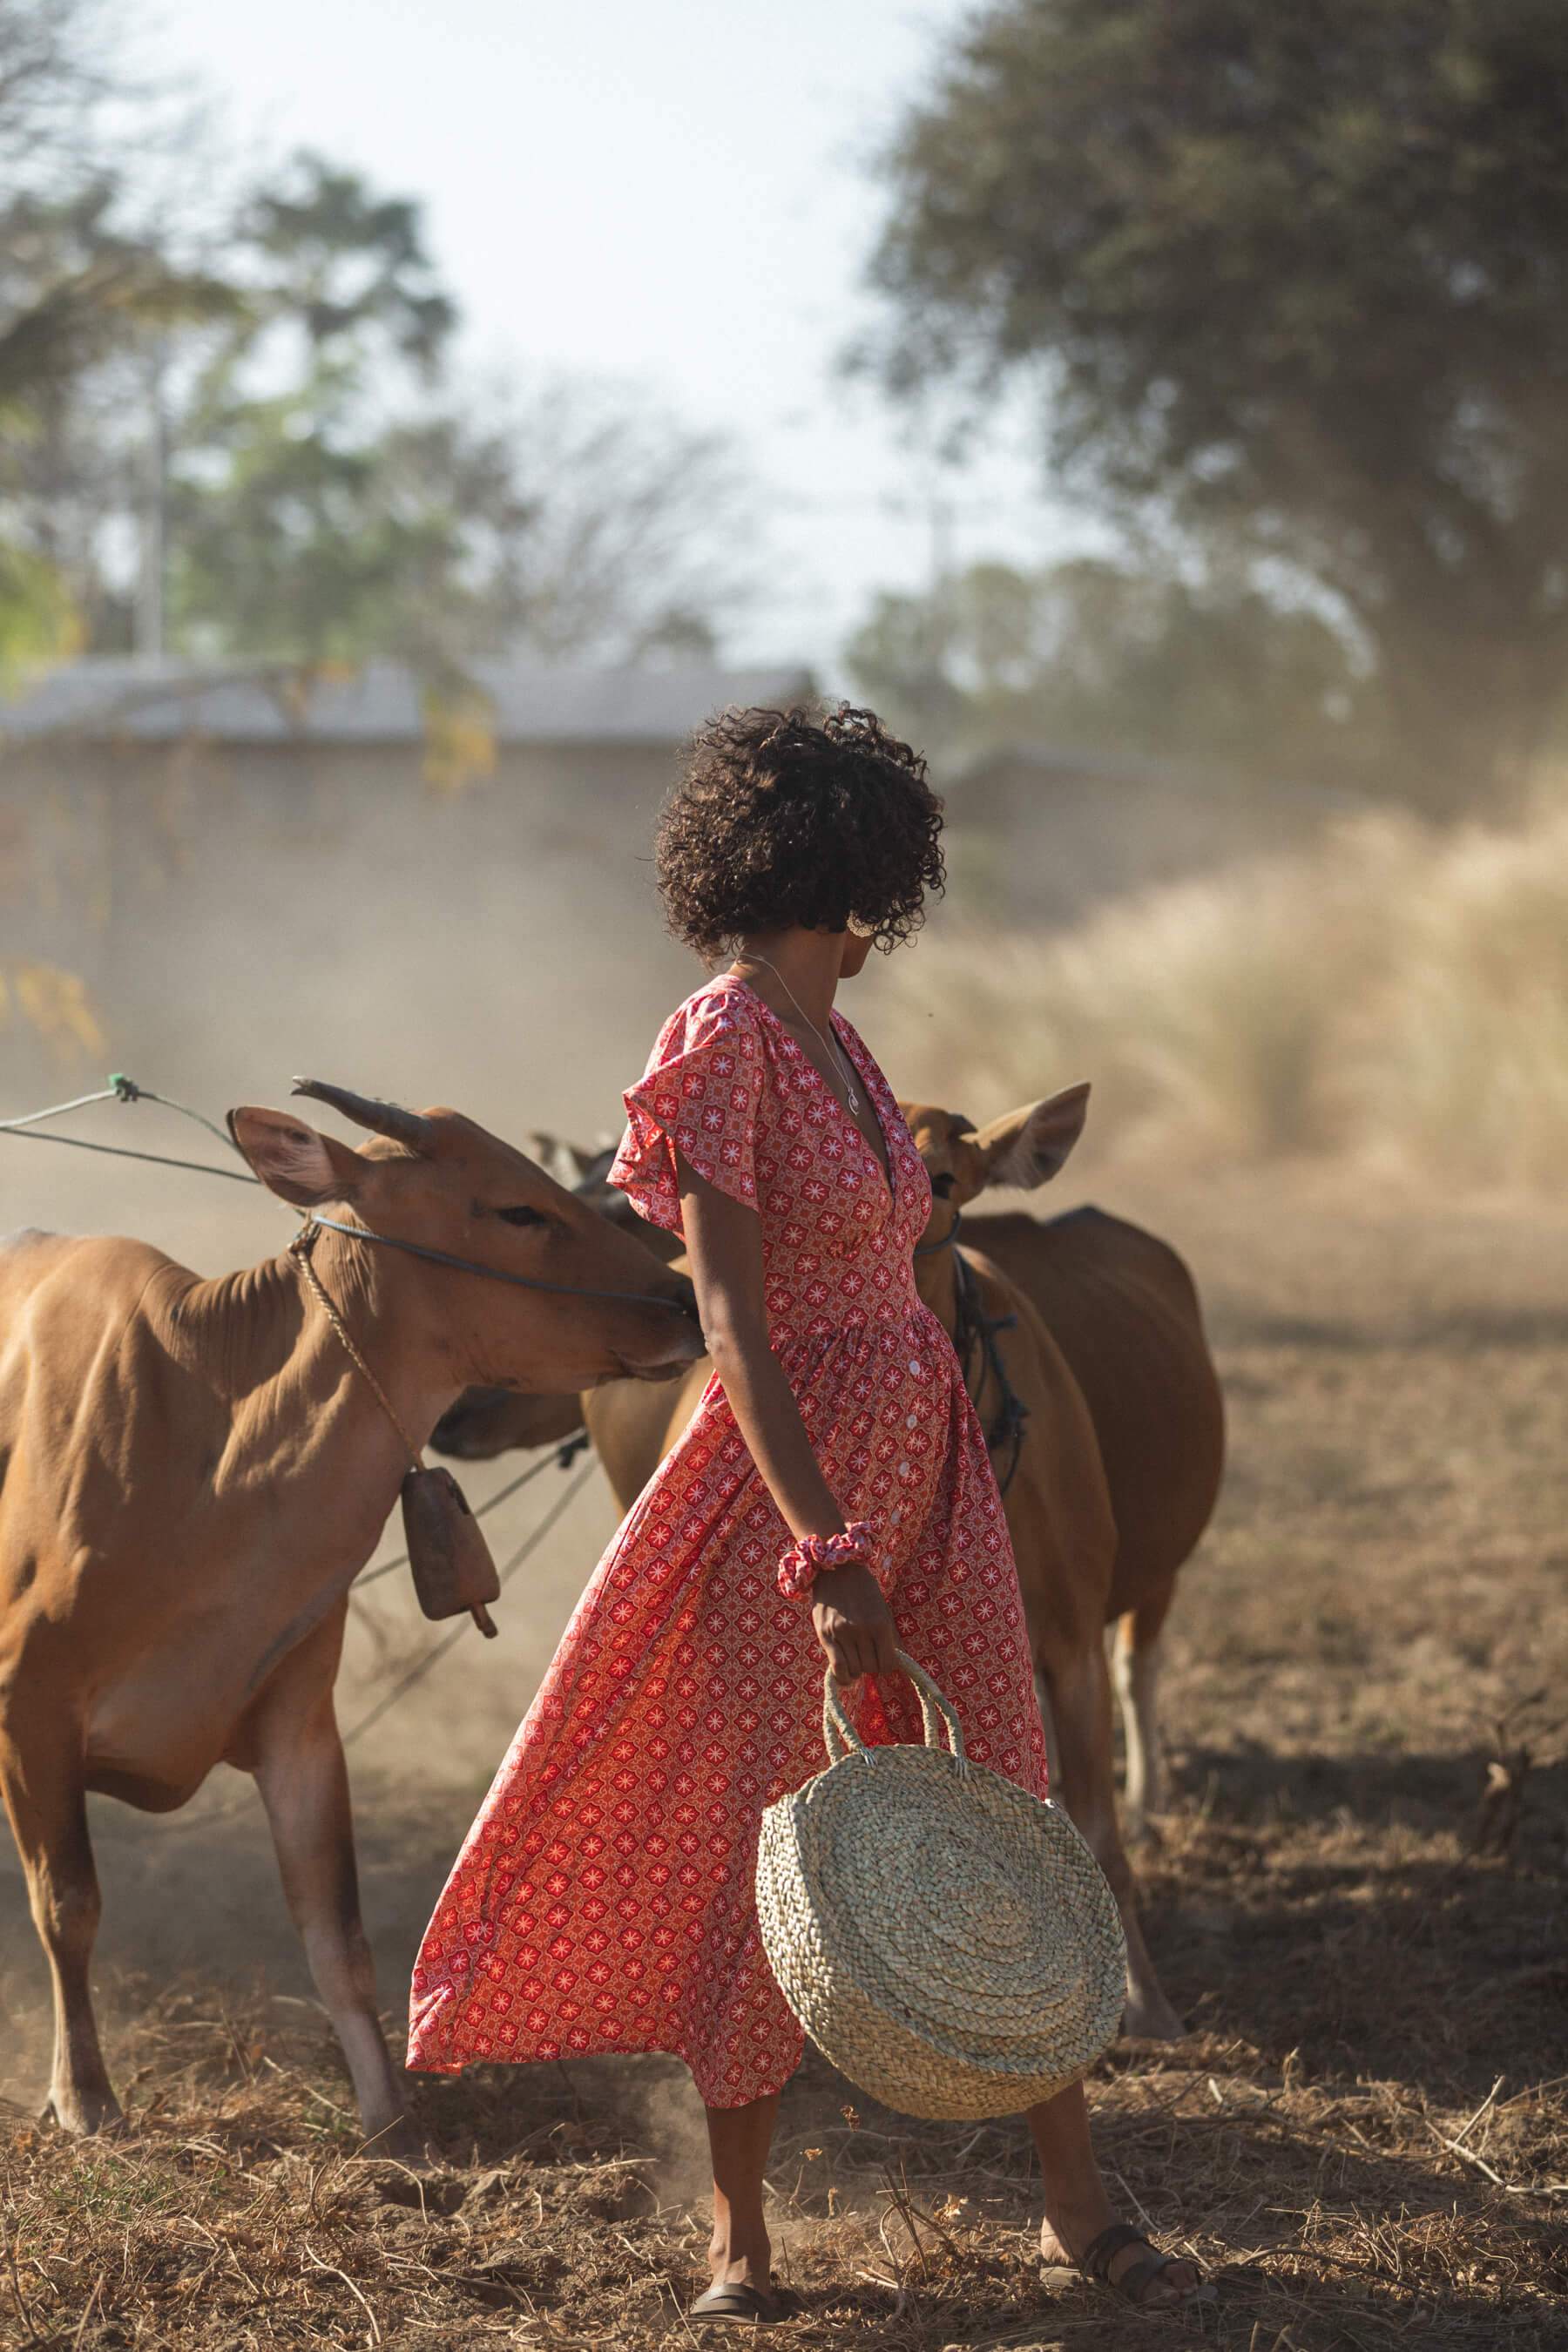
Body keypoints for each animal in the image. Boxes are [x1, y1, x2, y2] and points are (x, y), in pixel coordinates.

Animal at [0, 1082, 700, 2154]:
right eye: (517, 1208)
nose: (682, 1302)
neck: (209, 1446)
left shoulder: (299, 1725)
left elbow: (339, 1931)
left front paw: (390, 2116)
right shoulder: (30, 1710)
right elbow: (68, 1902)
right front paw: (84, 2099)